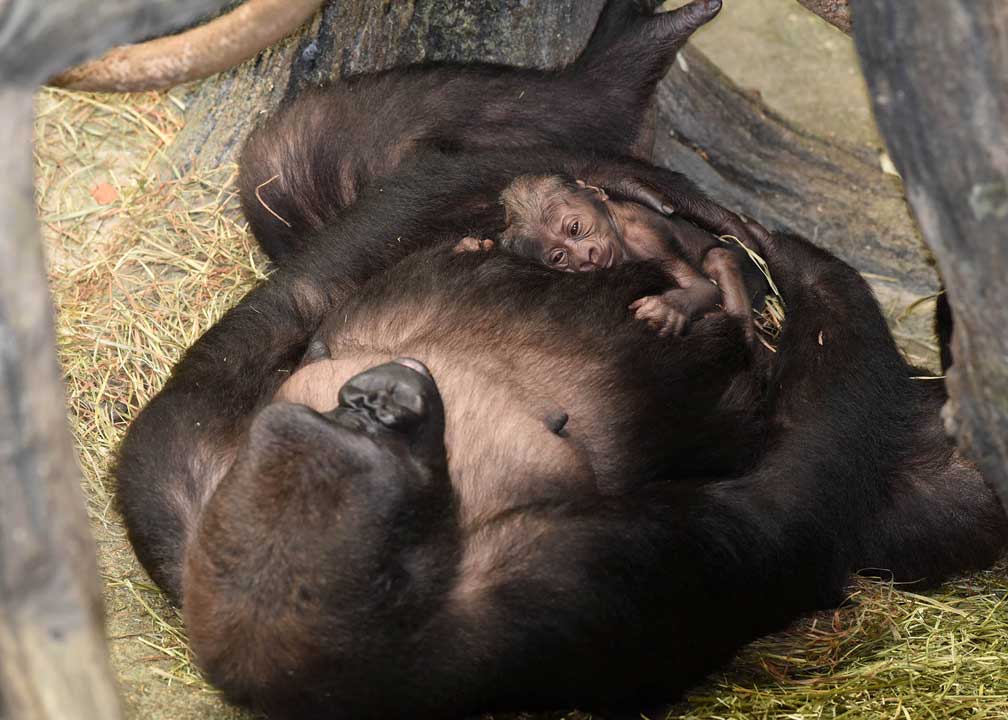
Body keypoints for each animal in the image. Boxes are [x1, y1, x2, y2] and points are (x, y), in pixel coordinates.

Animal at [455, 172, 758, 334]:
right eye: (559, 257)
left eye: (575, 228)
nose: (586, 258)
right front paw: (471, 247)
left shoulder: (648, 238)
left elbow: (702, 286)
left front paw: (670, 308)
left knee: (720, 257)